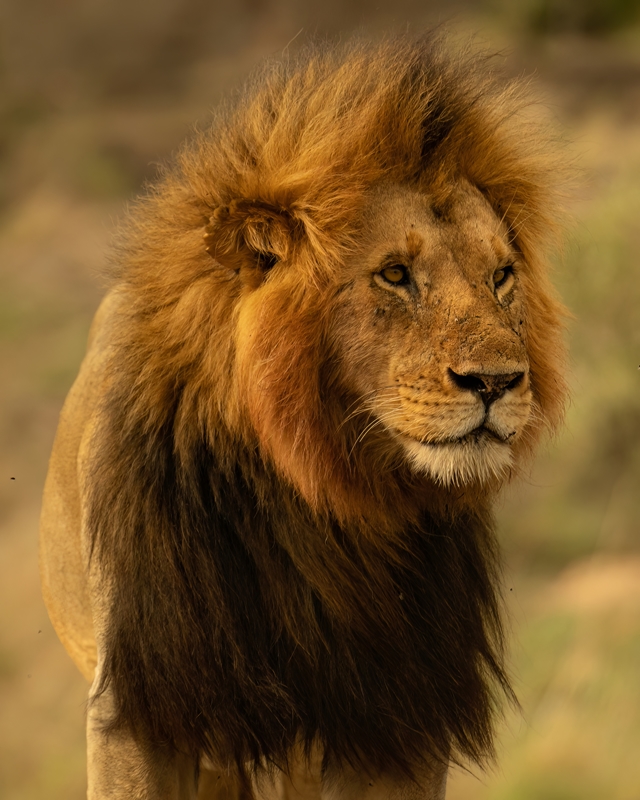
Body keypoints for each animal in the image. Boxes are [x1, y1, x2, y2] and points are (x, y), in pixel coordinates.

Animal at [39, 36, 568, 800]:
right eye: (394, 274)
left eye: (501, 276)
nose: (497, 382)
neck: (312, 496)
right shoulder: (145, 706)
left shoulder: (400, 724)